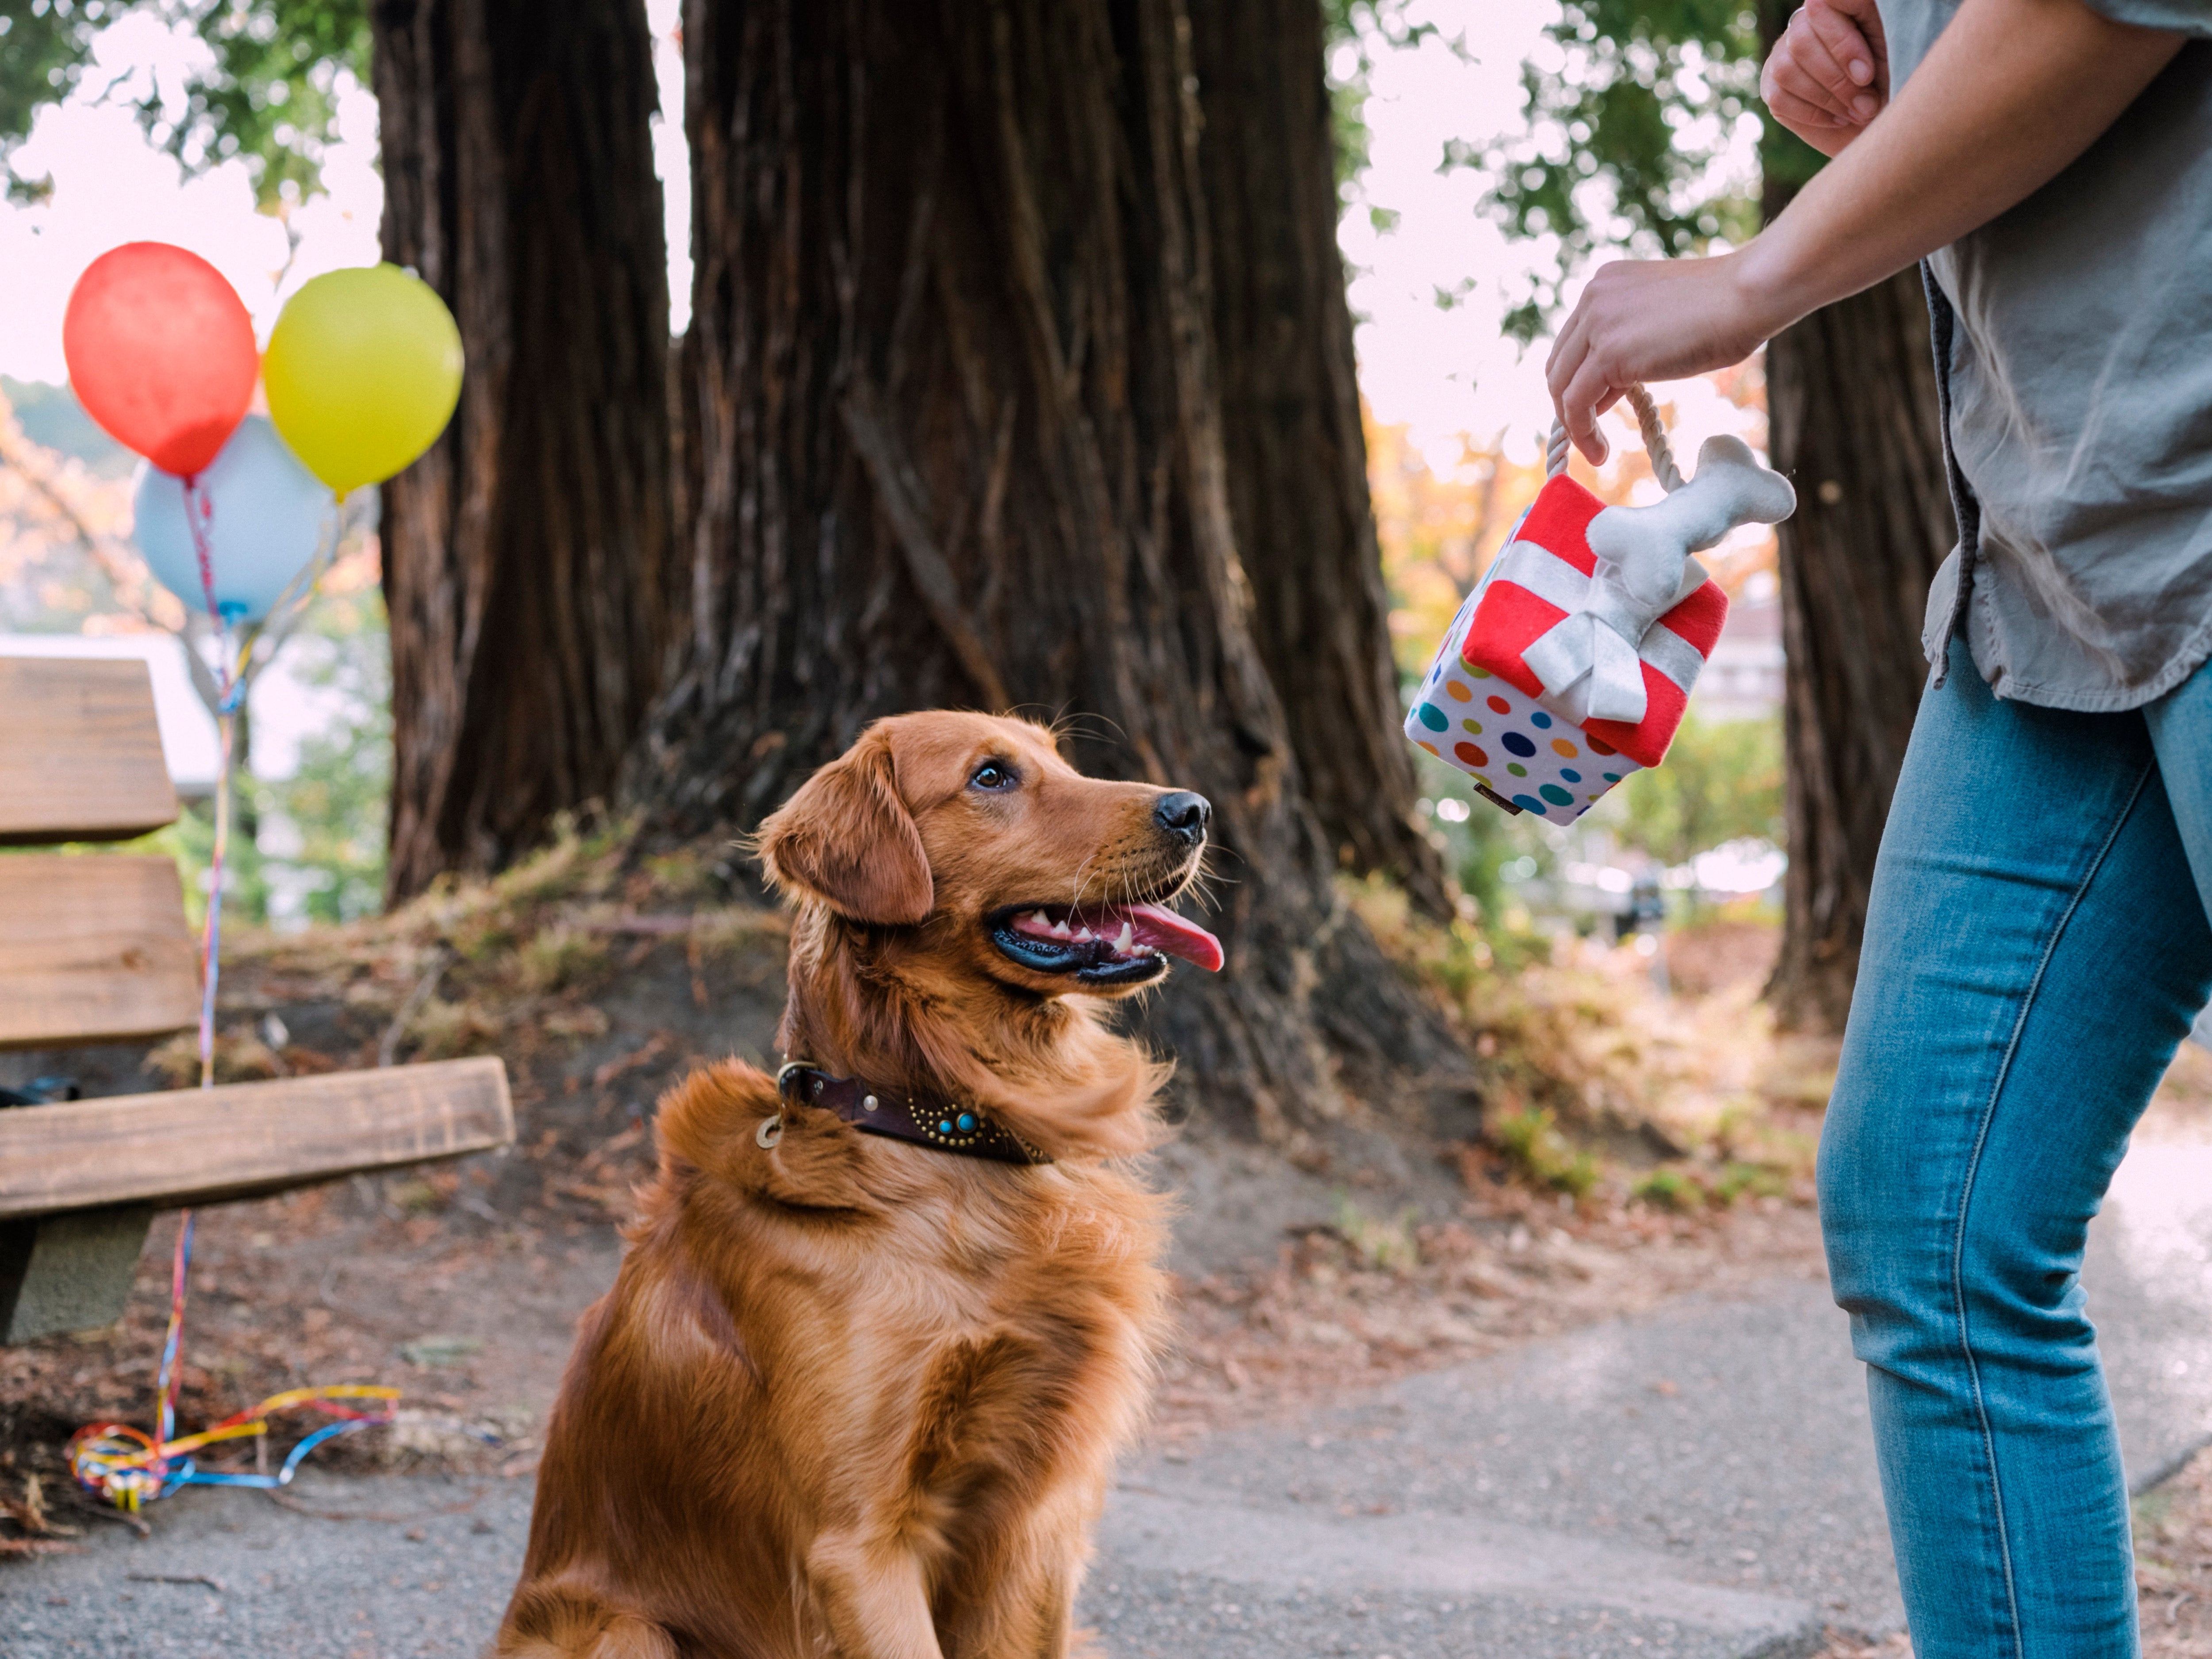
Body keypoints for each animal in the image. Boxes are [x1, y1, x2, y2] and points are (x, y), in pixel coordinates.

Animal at [500, 717, 1221, 1659]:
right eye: (991, 777)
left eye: (1060, 758)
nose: (1195, 810)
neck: (939, 1134)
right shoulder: (858, 1544)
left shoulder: (1034, 1526)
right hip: (626, 1630)